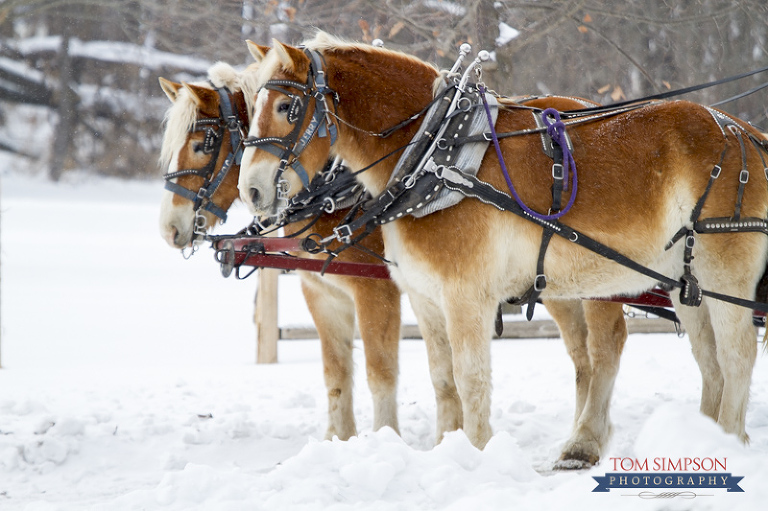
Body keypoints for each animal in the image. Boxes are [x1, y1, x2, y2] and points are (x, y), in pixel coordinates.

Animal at [157, 61, 402, 442]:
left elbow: (381, 371)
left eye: (201, 146)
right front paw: (339, 440)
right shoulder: (321, 290)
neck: (336, 194)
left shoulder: (378, 291)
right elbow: (336, 372)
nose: (169, 227)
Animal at [237, 33, 768, 454]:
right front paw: (444, 449)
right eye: (250, 107)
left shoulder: (464, 295)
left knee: (733, 353)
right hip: (683, 282)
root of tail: (744, 132)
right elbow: (442, 378)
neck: (436, 152)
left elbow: (470, 378)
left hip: (720, 273)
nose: (252, 191)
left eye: (286, 107)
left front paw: (475, 452)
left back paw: (717, 441)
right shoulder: (425, 298)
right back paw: (698, 441)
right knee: (708, 360)